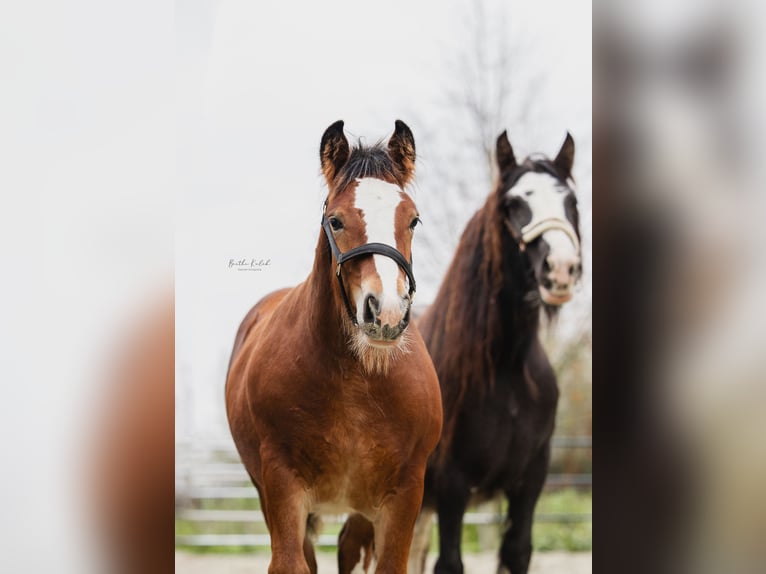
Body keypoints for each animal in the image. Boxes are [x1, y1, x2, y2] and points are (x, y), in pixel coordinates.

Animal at [226, 121, 444, 574]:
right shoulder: (281, 484)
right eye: (336, 220)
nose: (386, 312)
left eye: (412, 219)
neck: (357, 382)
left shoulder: (405, 493)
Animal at [342, 132, 584, 574]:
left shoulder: (529, 485)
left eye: (571, 202)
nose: (560, 268)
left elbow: (517, 552)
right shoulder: (453, 485)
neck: (505, 369)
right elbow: (450, 563)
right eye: (513, 204)